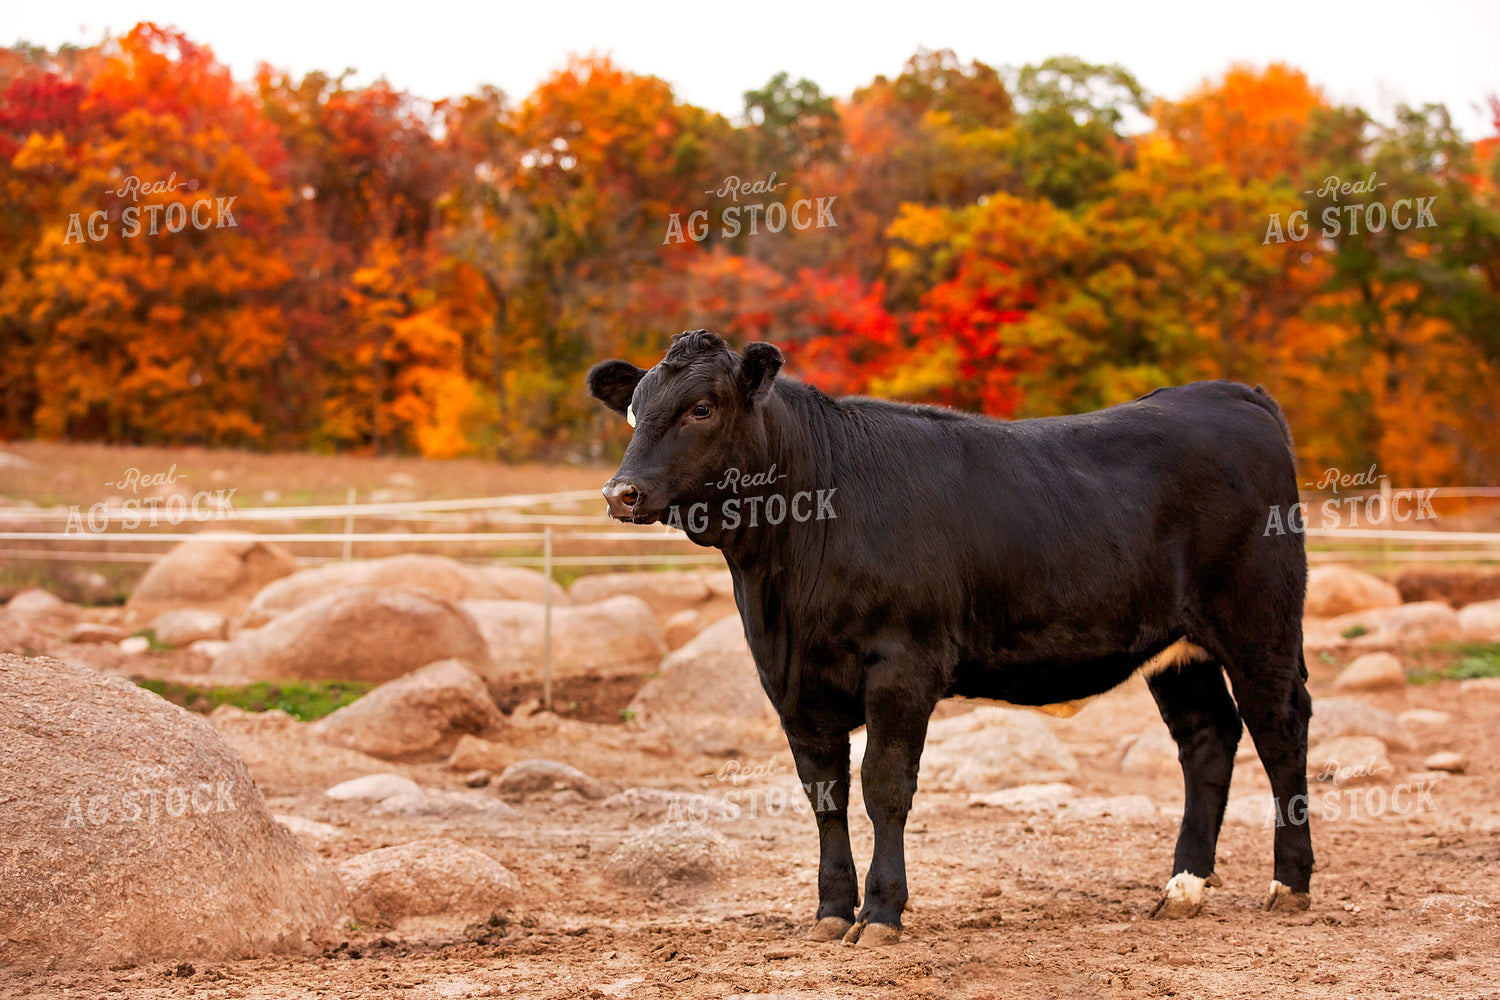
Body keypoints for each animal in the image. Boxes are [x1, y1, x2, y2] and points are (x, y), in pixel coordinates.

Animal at [586, 330, 1312, 947]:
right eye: (634, 411)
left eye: (701, 408)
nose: (621, 493)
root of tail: (1228, 393)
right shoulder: (789, 679)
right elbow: (824, 793)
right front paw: (830, 912)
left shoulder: (903, 663)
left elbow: (883, 784)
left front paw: (881, 913)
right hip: (1176, 647)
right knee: (1207, 737)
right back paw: (1184, 887)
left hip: (1260, 620)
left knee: (1280, 730)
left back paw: (1290, 885)